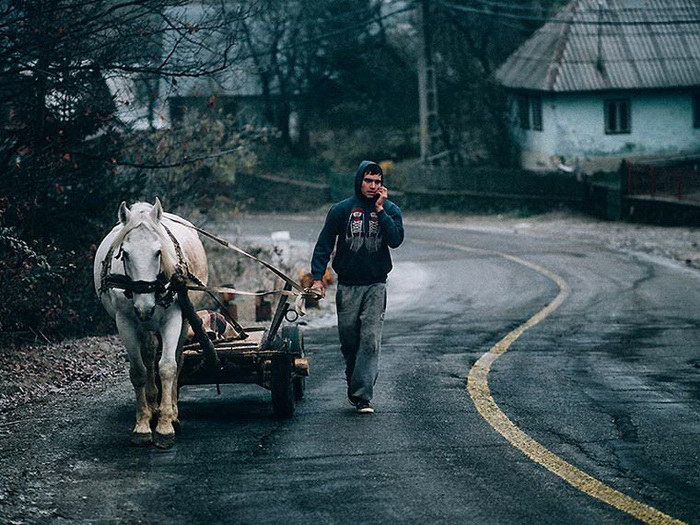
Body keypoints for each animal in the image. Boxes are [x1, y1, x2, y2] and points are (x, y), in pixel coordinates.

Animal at [94, 199, 206, 448]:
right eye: (125, 253)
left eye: (158, 252)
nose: (145, 307)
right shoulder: (125, 321)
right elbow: (139, 371)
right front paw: (143, 424)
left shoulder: (173, 318)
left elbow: (167, 367)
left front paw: (166, 425)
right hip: (144, 327)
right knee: (148, 355)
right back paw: (153, 404)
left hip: (184, 320)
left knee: (177, 359)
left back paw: (171, 411)